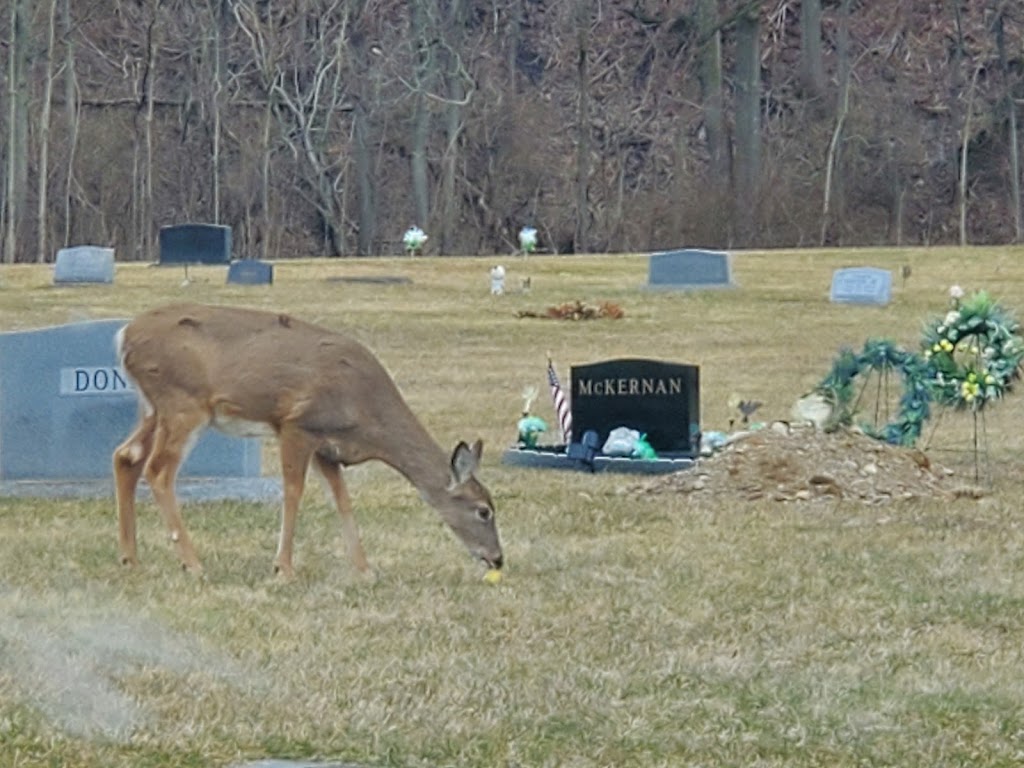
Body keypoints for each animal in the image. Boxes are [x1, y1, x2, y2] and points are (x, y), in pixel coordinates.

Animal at [113, 303, 503, 581]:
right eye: (483, 510)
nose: (498, 559)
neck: (368, 418)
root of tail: (124, 336)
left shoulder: (327, 448)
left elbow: (342, 499)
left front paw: (364, 569)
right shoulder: (298, 425)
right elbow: (293, 492)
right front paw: (283, 569)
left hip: (153, 409)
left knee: (125, 456)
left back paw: (131, 558)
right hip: (184, 403)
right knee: (158, 470)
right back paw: (192, 564)